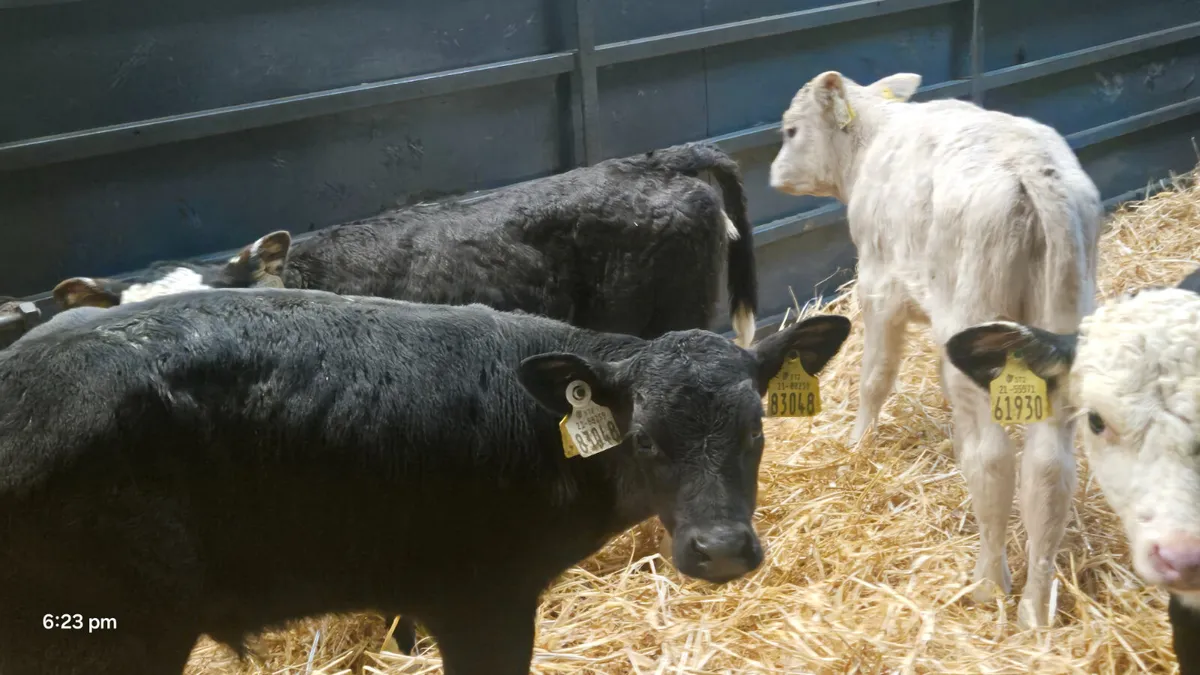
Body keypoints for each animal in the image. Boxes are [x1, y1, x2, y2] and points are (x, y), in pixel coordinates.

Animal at [767, 70, 1103, 628]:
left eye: (791, 130)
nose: (774, 175)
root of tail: (1030, 172)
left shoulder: (878, 286)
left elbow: (875, 377)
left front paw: (857, 443)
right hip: (1060, 330)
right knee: (1049, 469)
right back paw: (1036, 608)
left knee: (994, 460)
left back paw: (988, 585)